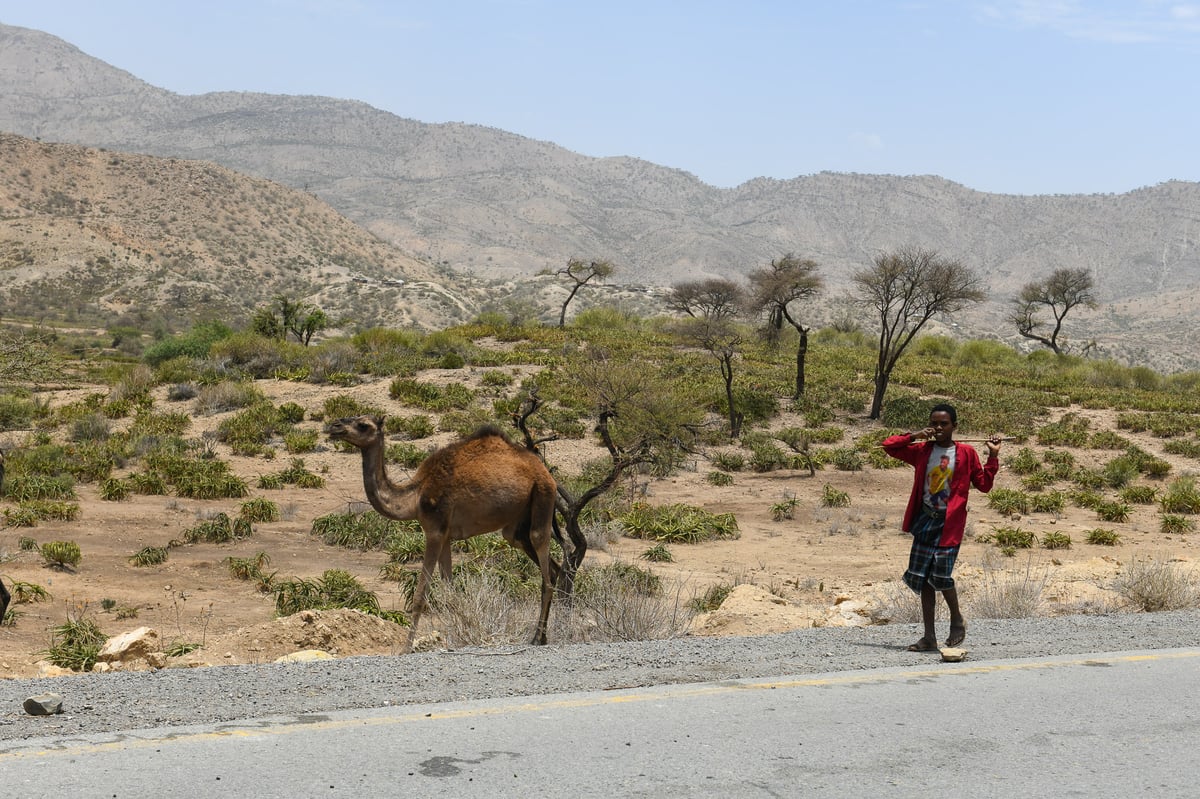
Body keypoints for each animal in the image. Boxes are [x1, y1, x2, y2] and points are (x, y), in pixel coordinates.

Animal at [326, 412, 564, 643]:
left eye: (363, 425)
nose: (334, 426)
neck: (415, 496)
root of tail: (545, 472)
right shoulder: (447, 536)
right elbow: (450, 592)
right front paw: (456, 639)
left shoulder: (435, 531)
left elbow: (421, 595)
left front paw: (406, 648)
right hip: (517, 526)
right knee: (551, 567)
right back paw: (542, 635)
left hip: (543, 496)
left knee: (544, 565)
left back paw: (537, 639)